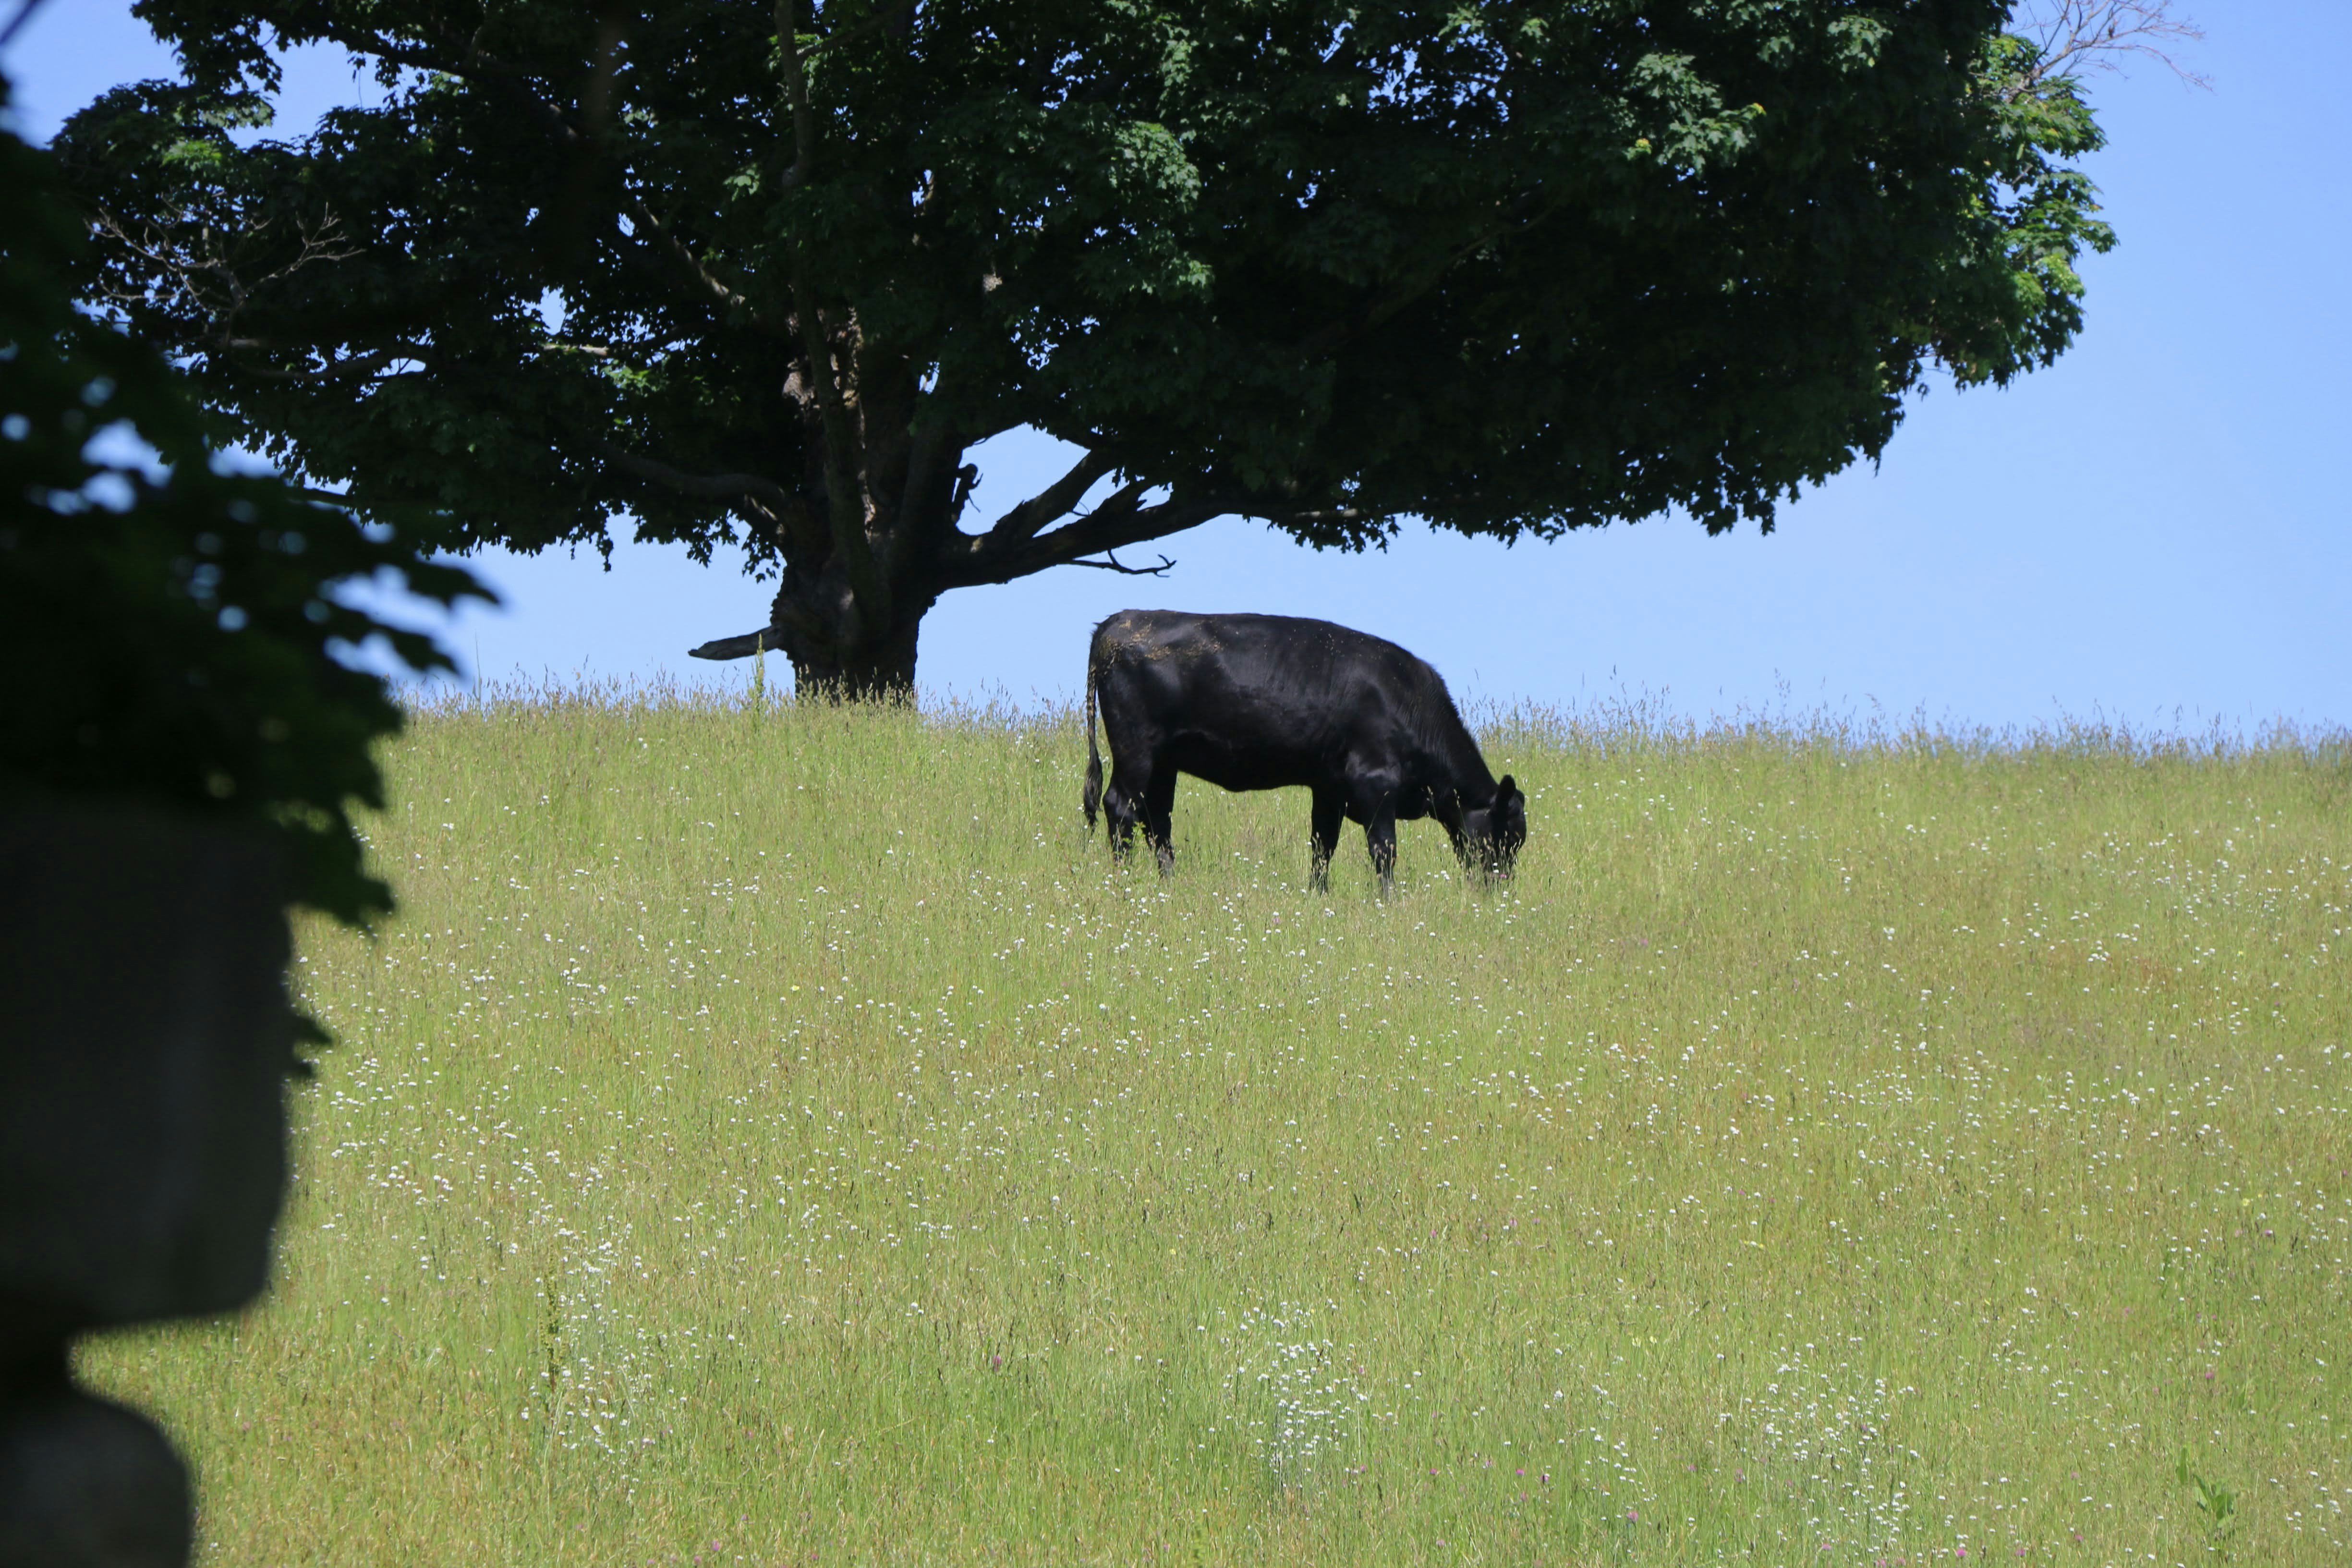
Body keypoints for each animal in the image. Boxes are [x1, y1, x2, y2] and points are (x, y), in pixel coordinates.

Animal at [1080, 610, 1526, 895]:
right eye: (1506, 836)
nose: (1498, 892)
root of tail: (1117, 621)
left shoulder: (1330, 788)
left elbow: (1323, 846)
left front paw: (1318, 896)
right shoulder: (1375, 782)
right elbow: (1384, 851)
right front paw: (1389, 900)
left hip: (1164, 762)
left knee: (1157, 820)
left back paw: (1170, 886)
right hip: (1136, 749)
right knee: (1121, 807)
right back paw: (1122, 885)